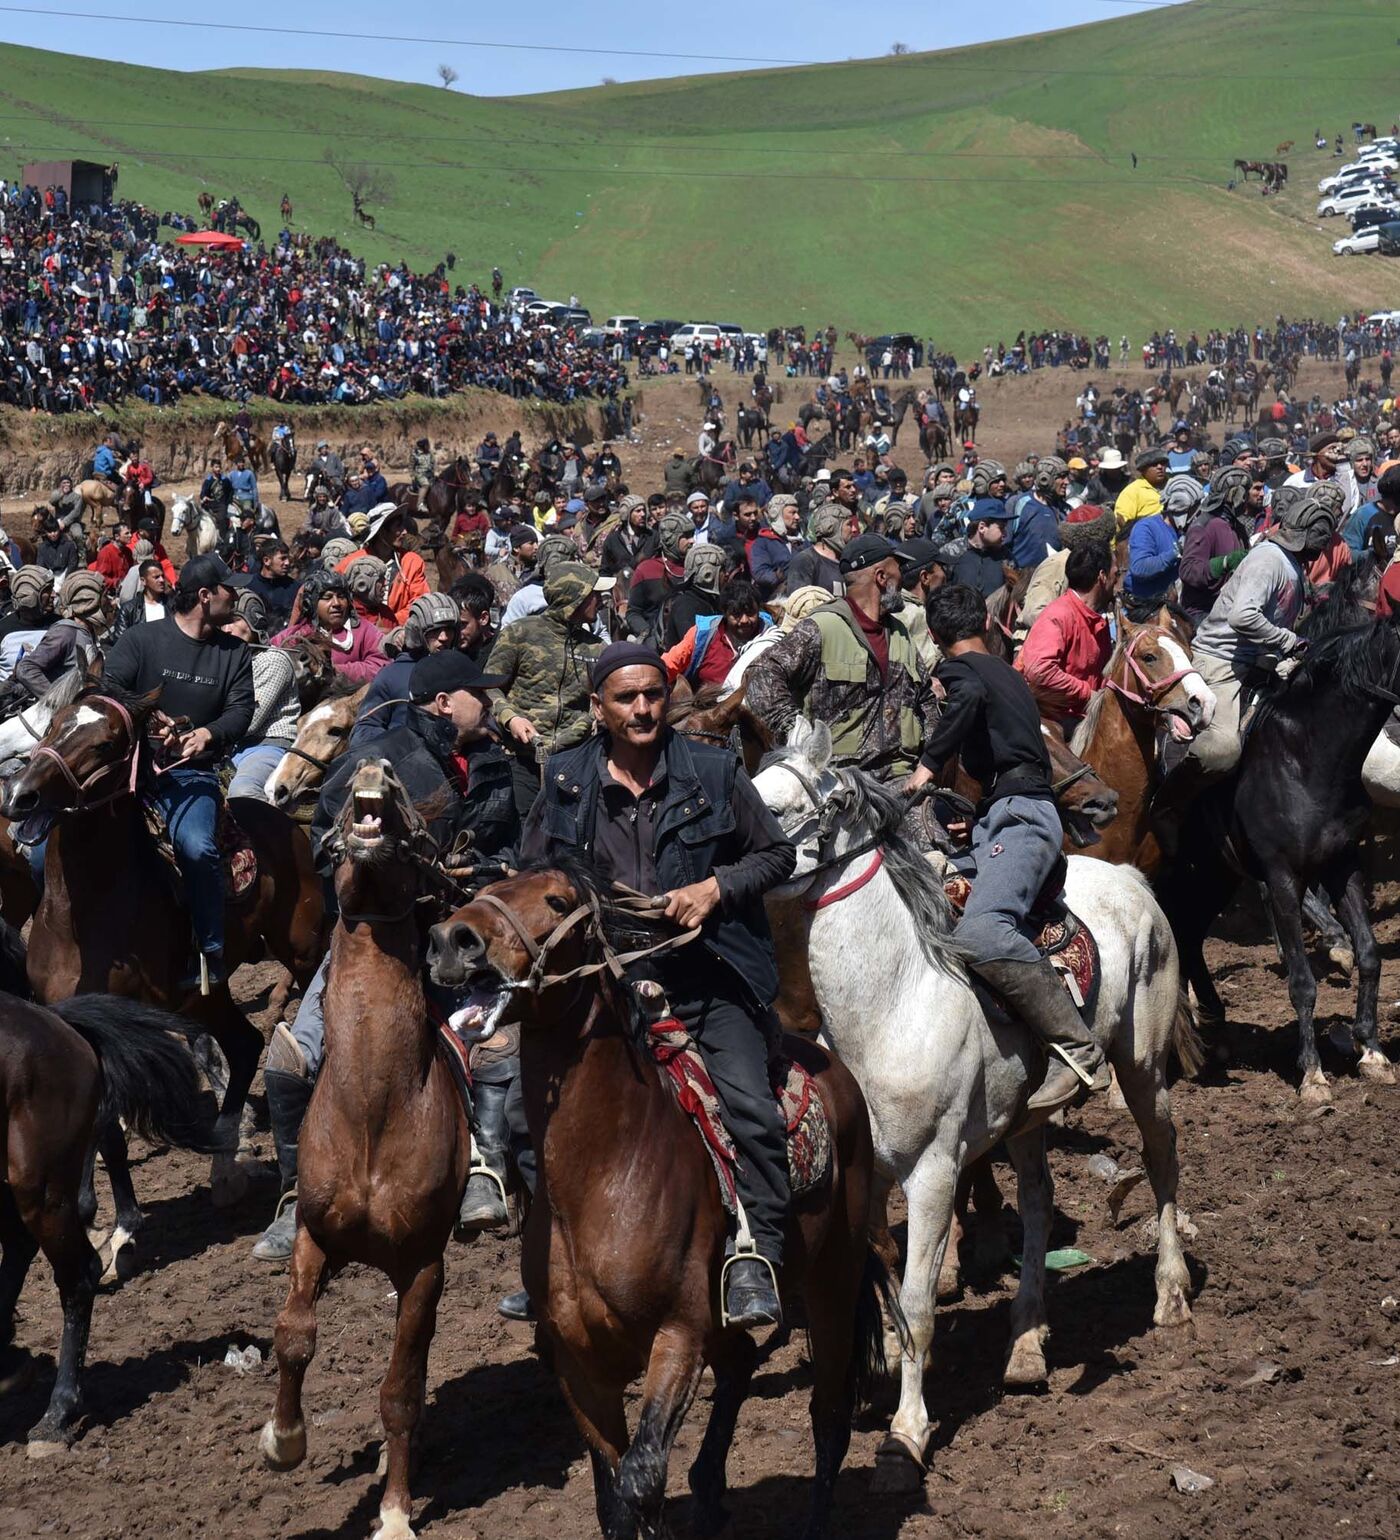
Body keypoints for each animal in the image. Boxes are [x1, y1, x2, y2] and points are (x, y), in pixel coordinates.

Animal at [0, 693, 324, 1244]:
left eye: (105, 744)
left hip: (301, 950)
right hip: (205, 995)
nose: (21, 796)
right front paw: (101, 1217)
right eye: (56, 724)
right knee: (244, 1045)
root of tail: (283, 821)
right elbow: (101, 1124)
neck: (84, 917)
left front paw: (122, 1226)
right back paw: (225, 1166)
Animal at [261, 760, 474, 1540]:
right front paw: (284, 1439)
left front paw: (395, 1513)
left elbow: (400, 1391)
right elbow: (294, 1333)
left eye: (417, 813)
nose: (375, 768)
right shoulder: (315, 1233)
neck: (375, 1114)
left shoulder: (421, 1267)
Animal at [422, 862, 893, 1540]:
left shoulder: (677, 1335)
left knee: (828, 1415)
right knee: (742, 1364)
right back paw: (710, 1493)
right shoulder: (579, 1363)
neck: (603, 1179)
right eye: (491, 887)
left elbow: (642, 1480)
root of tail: (832, 1067)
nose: (452, 941)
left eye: (557, 901)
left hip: (834, 1277)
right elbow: (614, 1498)